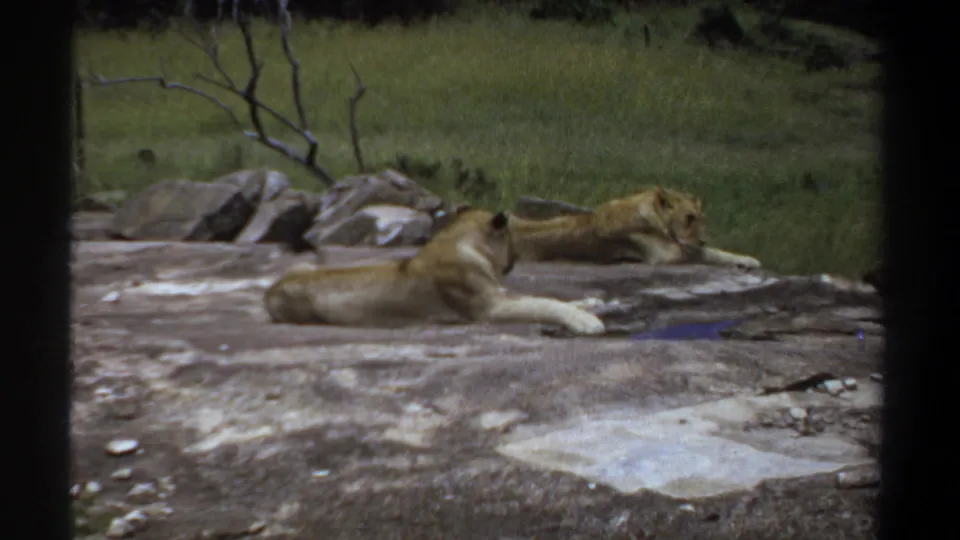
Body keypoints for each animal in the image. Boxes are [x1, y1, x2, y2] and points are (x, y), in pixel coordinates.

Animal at [263, 207, 606, 335]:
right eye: (512, 236)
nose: (515, 260)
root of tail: (269, 291)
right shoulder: (488, 308)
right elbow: (543, 303)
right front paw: (586, 321)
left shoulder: (500, 295)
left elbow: (546, 297)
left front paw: (590, 304)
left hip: (307, 263)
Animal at [510, 186, 761, 269]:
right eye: (688, 218)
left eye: (700, 218)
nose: (702, 239)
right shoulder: (663, 255)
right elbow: (708, 253)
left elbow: (715, 252)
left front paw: (748, 260)